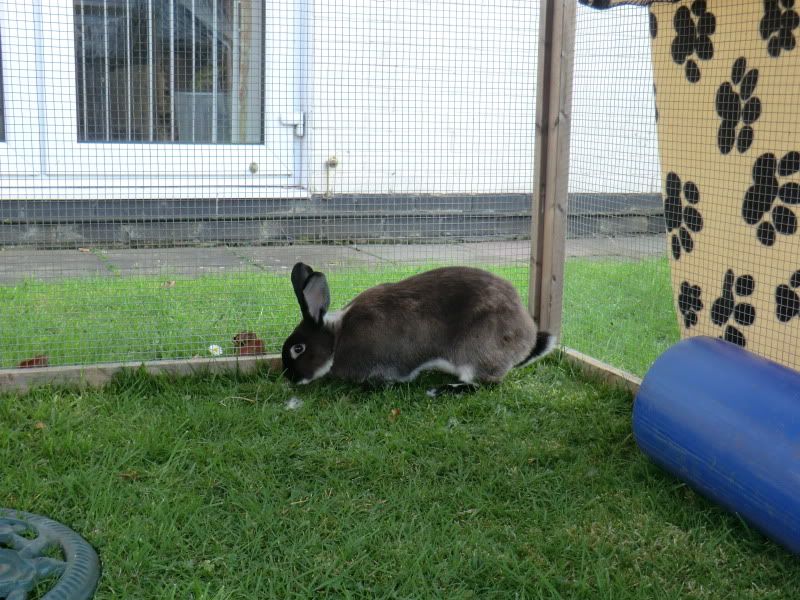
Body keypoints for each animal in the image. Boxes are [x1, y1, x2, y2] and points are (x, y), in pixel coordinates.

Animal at [282, 262, 556, 394]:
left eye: (298, 348)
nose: (289, 378)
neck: (337, 339)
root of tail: (528, 336)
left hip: (477, 350)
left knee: (484, 382)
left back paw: (444, 390)